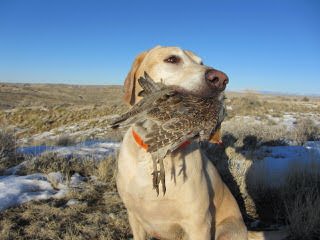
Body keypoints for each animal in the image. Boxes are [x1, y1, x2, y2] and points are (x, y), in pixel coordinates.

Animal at [116, 46, 286, 239]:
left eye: (201, 62)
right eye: (172, 59)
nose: (220, 79)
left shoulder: (199, 223)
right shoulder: (134, 218)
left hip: (224, 230)